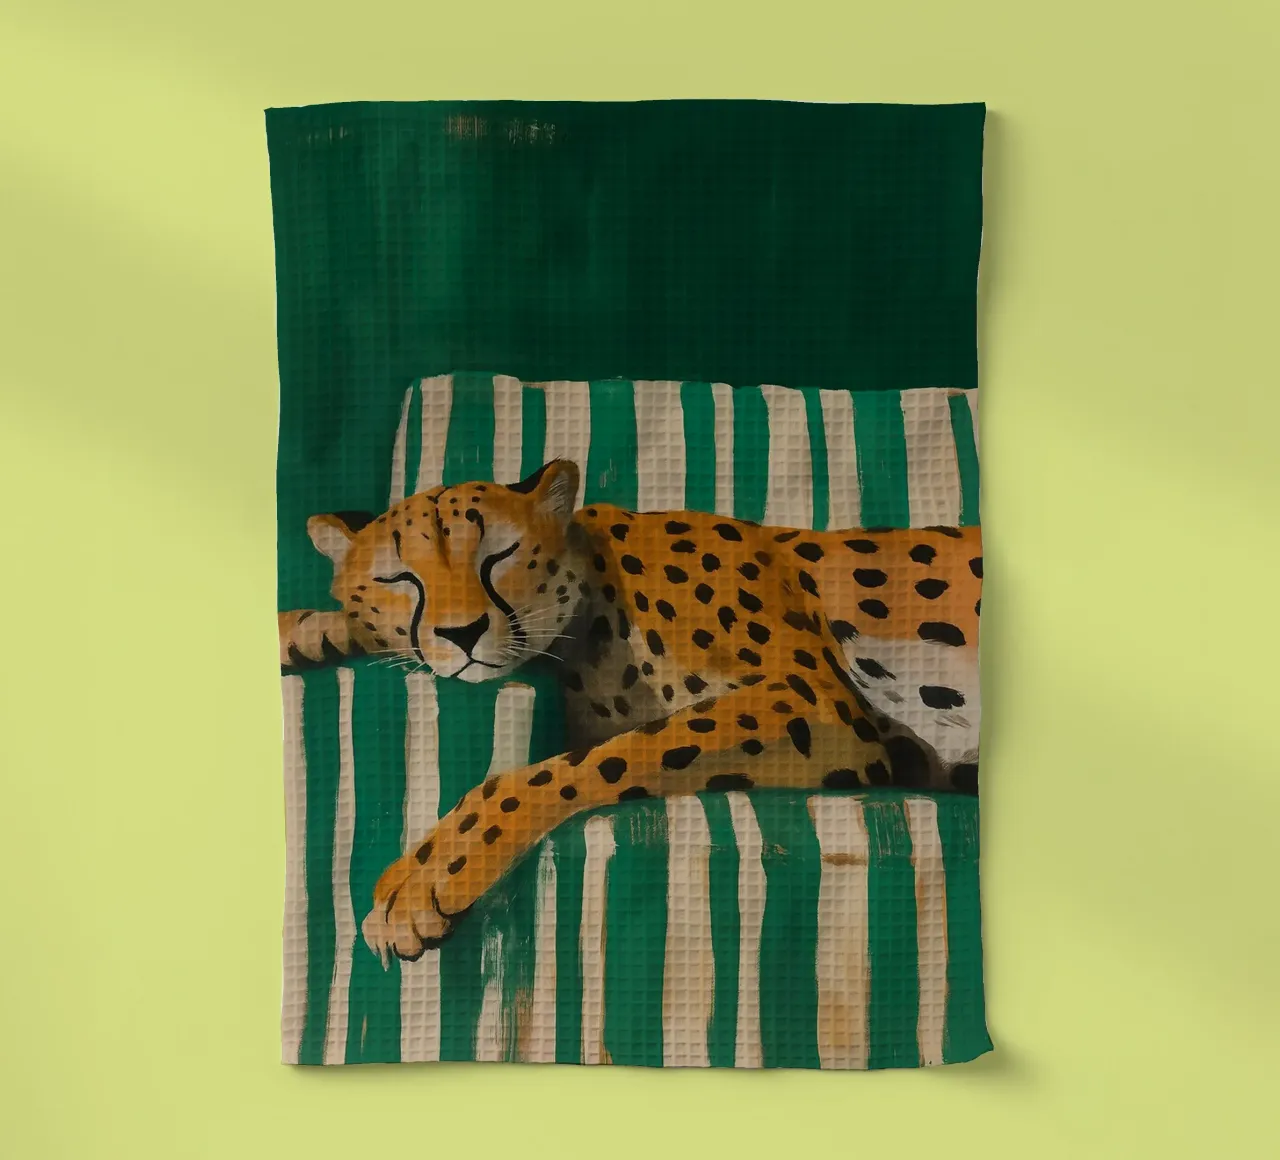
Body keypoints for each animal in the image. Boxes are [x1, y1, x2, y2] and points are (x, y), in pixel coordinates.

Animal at [279, 458, 983, 964]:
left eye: (498, 557)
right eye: (399, 579)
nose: (462, 632)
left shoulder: (815, 703)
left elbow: (602, 758)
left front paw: (427, 876)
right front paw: (307, 628)